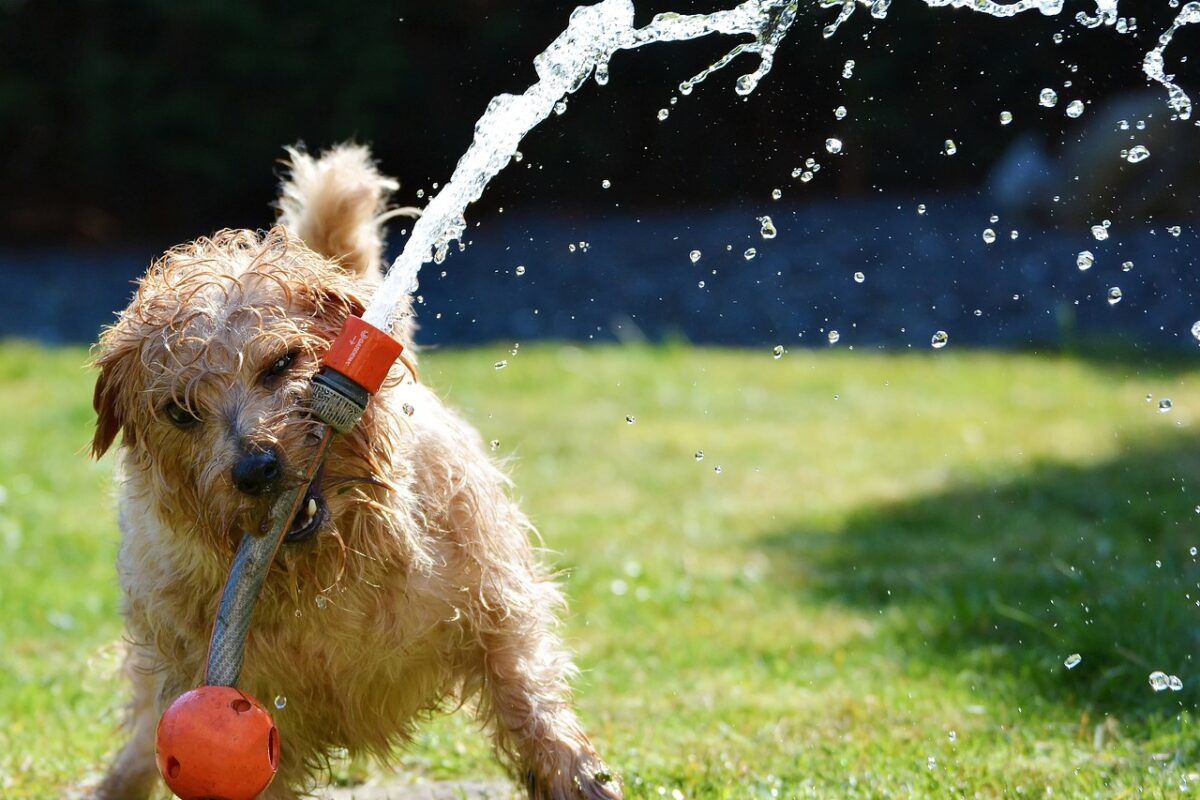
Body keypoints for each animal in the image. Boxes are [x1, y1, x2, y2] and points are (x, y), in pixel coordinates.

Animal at [88, 145, 624, 800]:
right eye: (179, 411)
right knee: (143, 733)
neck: (328, 572)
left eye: (283, 362)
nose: (257, 468)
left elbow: (530, 702)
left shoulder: (495, 611)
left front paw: (580, 776)